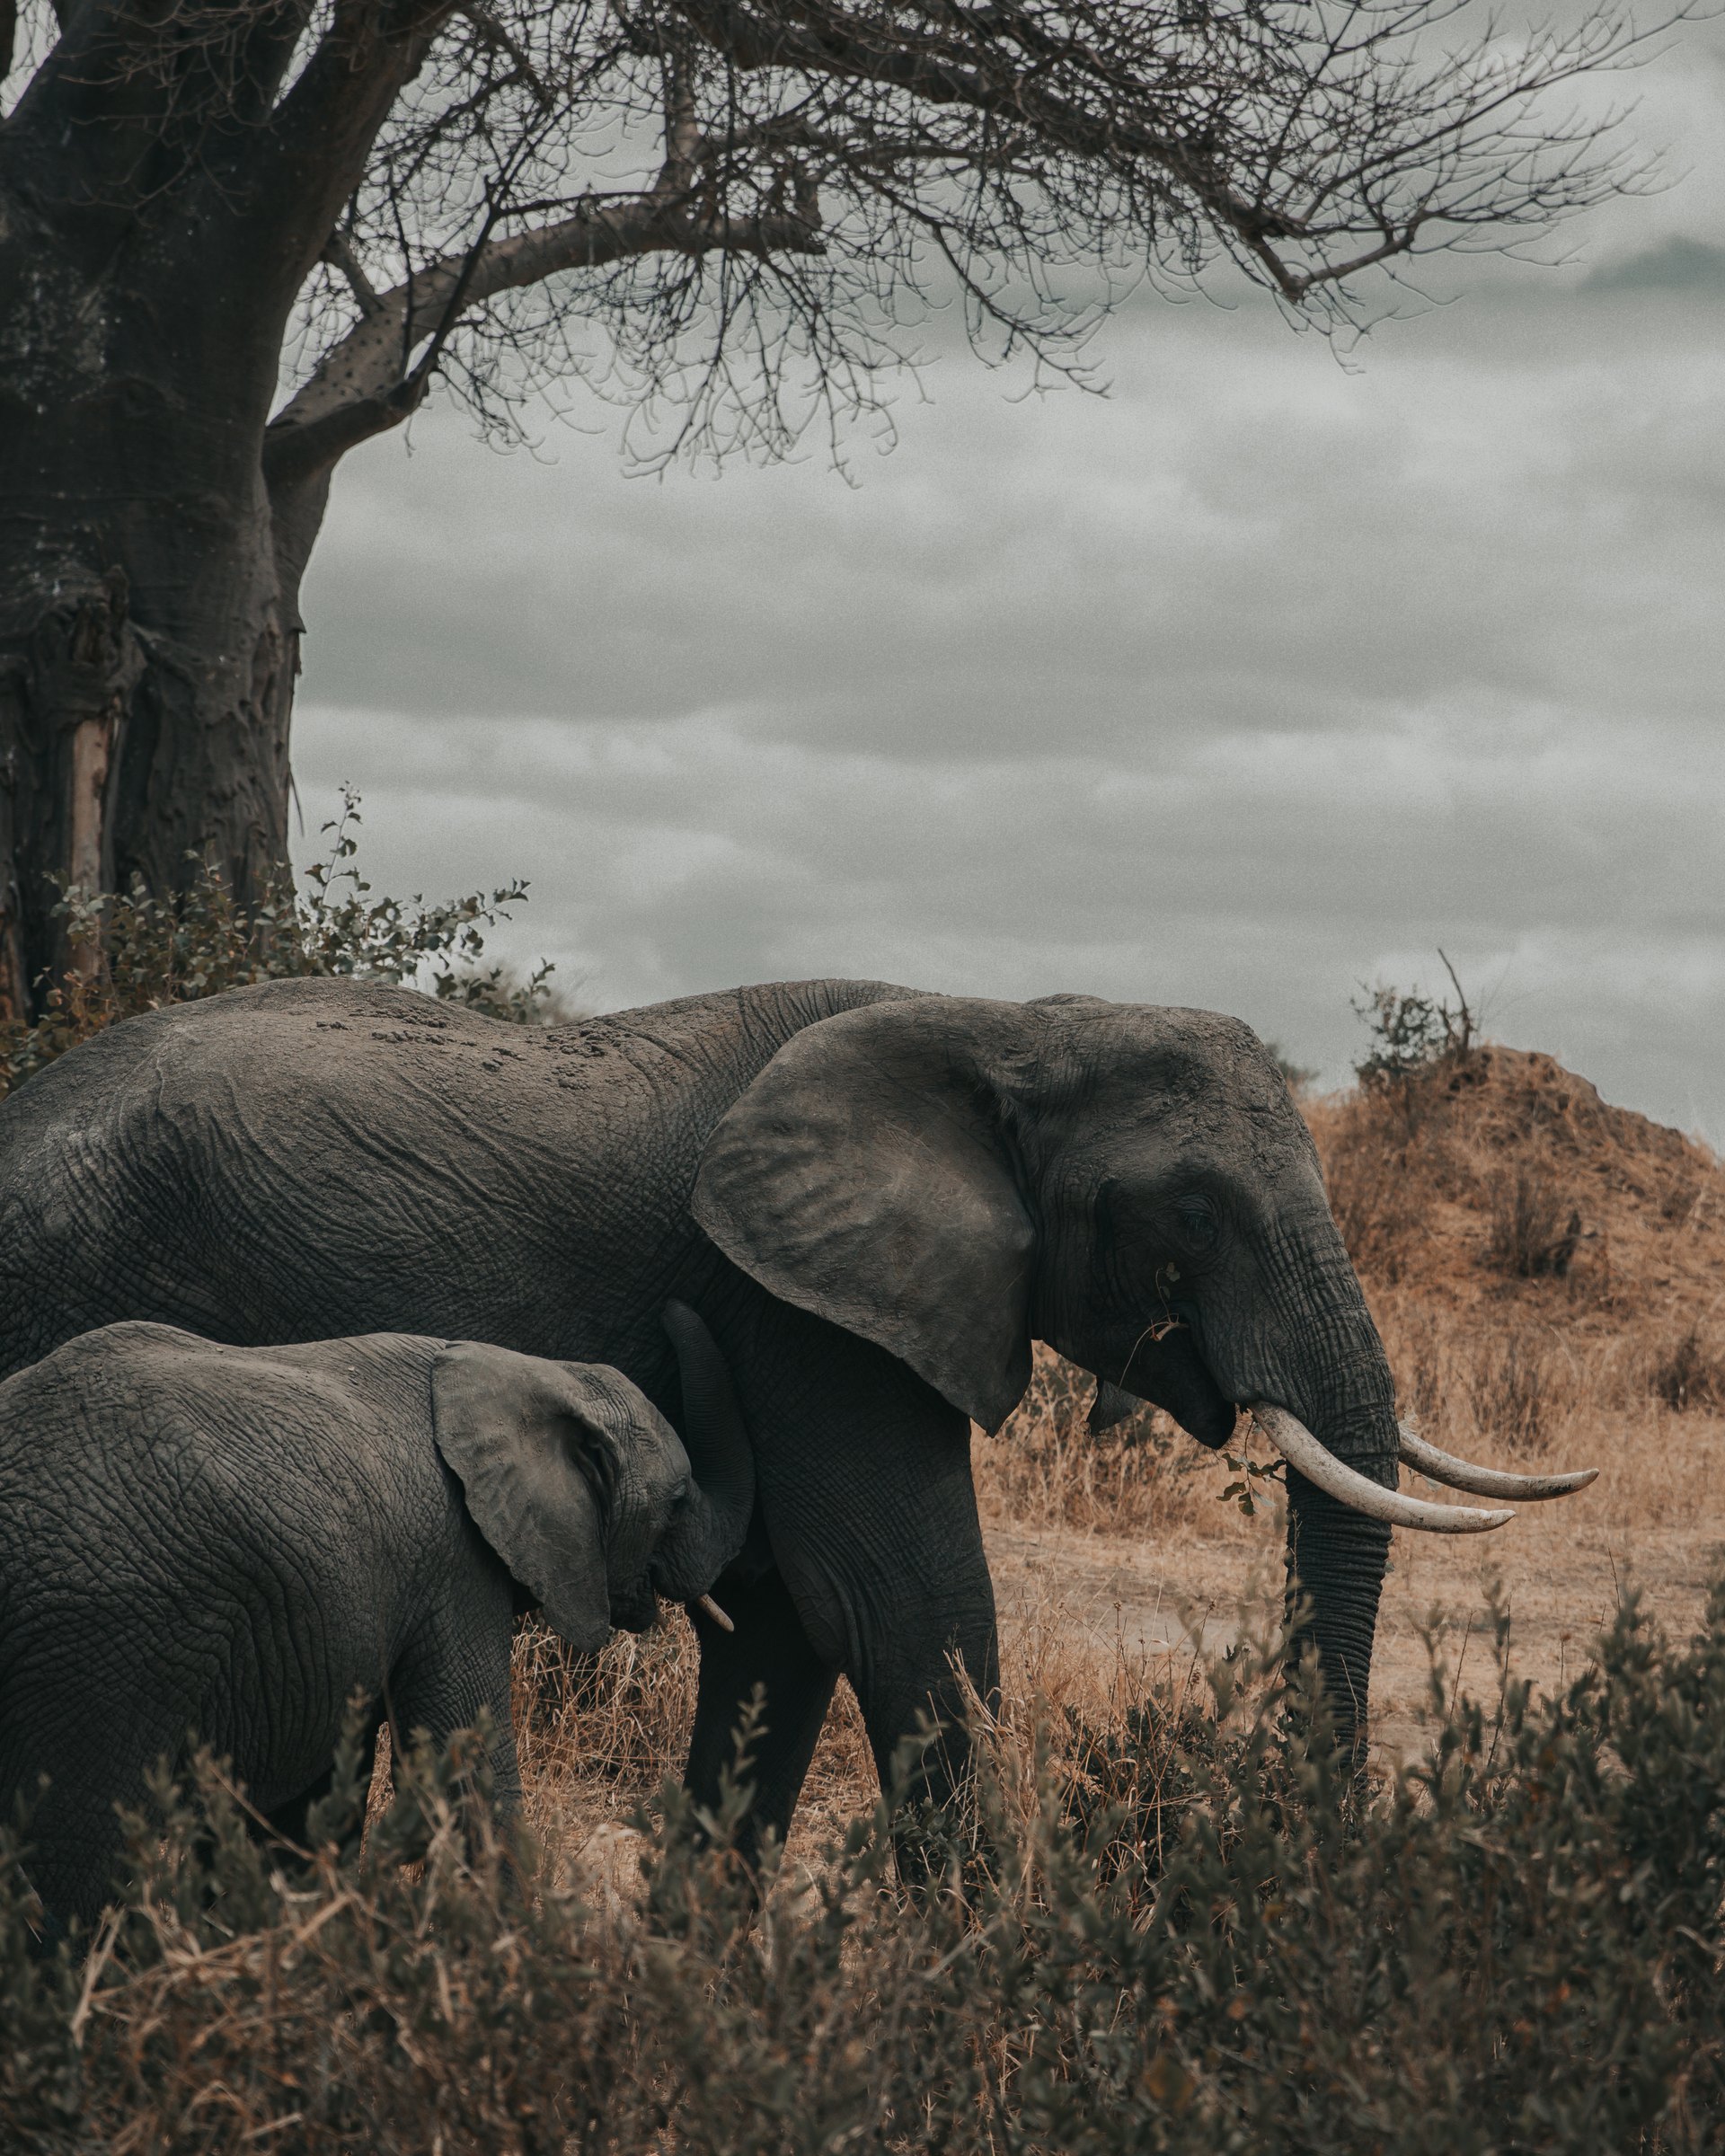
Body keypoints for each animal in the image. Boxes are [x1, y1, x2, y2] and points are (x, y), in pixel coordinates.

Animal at [0, 1301, 752, 1933]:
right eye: (679, 1499)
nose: (674, 1309)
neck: (529, 1372)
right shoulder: (453, 1563)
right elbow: (463, 1764)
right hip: (97, 1653)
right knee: (72, 1870)